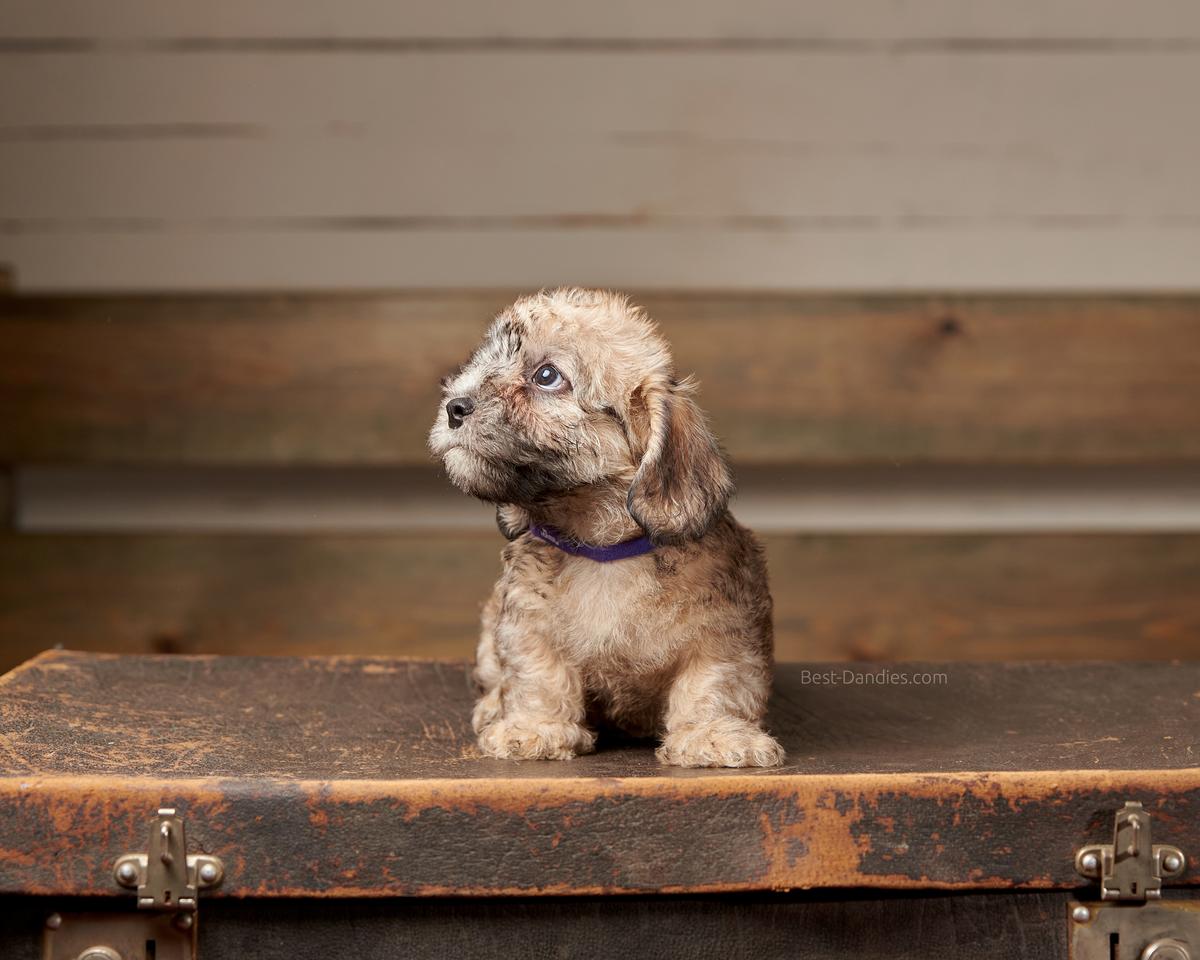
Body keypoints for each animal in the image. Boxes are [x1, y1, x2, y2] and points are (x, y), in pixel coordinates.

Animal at [432, 289, 787, 768]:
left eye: (547, 376)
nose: (454, 407)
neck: (602, 549)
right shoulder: (527, 622)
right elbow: (538, 673)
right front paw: (535, 728)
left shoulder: (724, 632)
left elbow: (713, 683)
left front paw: (713, 735)